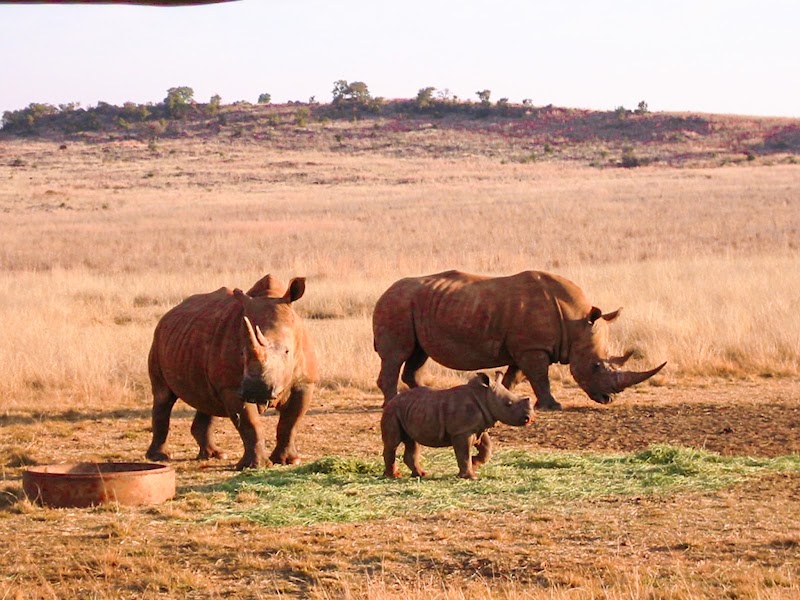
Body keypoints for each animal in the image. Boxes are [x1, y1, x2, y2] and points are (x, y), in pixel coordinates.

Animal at [146, 274, 317, 470]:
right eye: (242, 353)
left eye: (287, 351)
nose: (257, 390)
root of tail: (169, 314)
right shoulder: (233, 388)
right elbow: (250, 425)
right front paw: (254, 466)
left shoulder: (305, 382)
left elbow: (290, 422)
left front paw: (288, 461)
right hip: (158, 339)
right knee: (163, 396)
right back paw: (159, 457)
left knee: (207, 399)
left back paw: (215, 455)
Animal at [373, 270, 665, 410]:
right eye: (595, 366)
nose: (608, 399)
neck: (575, 321)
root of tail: (384, 290)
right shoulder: (533, 348)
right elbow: (539, 376)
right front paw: (553, 406)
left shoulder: (525, 347)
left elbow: (516, 376)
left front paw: (506, 398)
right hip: (397, 304)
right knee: (397, 355)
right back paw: (391, 403)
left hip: (414, 305)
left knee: (417, 355)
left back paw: (423, 396)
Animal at [382, 371, 534, 479]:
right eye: (508, 404)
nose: (529, 418)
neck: (484, 396)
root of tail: (392, 400)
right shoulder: (462, 431)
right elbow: (464, 453)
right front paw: (471, 477)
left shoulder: (478, 427)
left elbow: (487, 448)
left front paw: (475, 463)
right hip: (392, 411)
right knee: (393, 443)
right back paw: (394, 476)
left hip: (411, 410)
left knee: (412, 442)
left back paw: (421, 475)